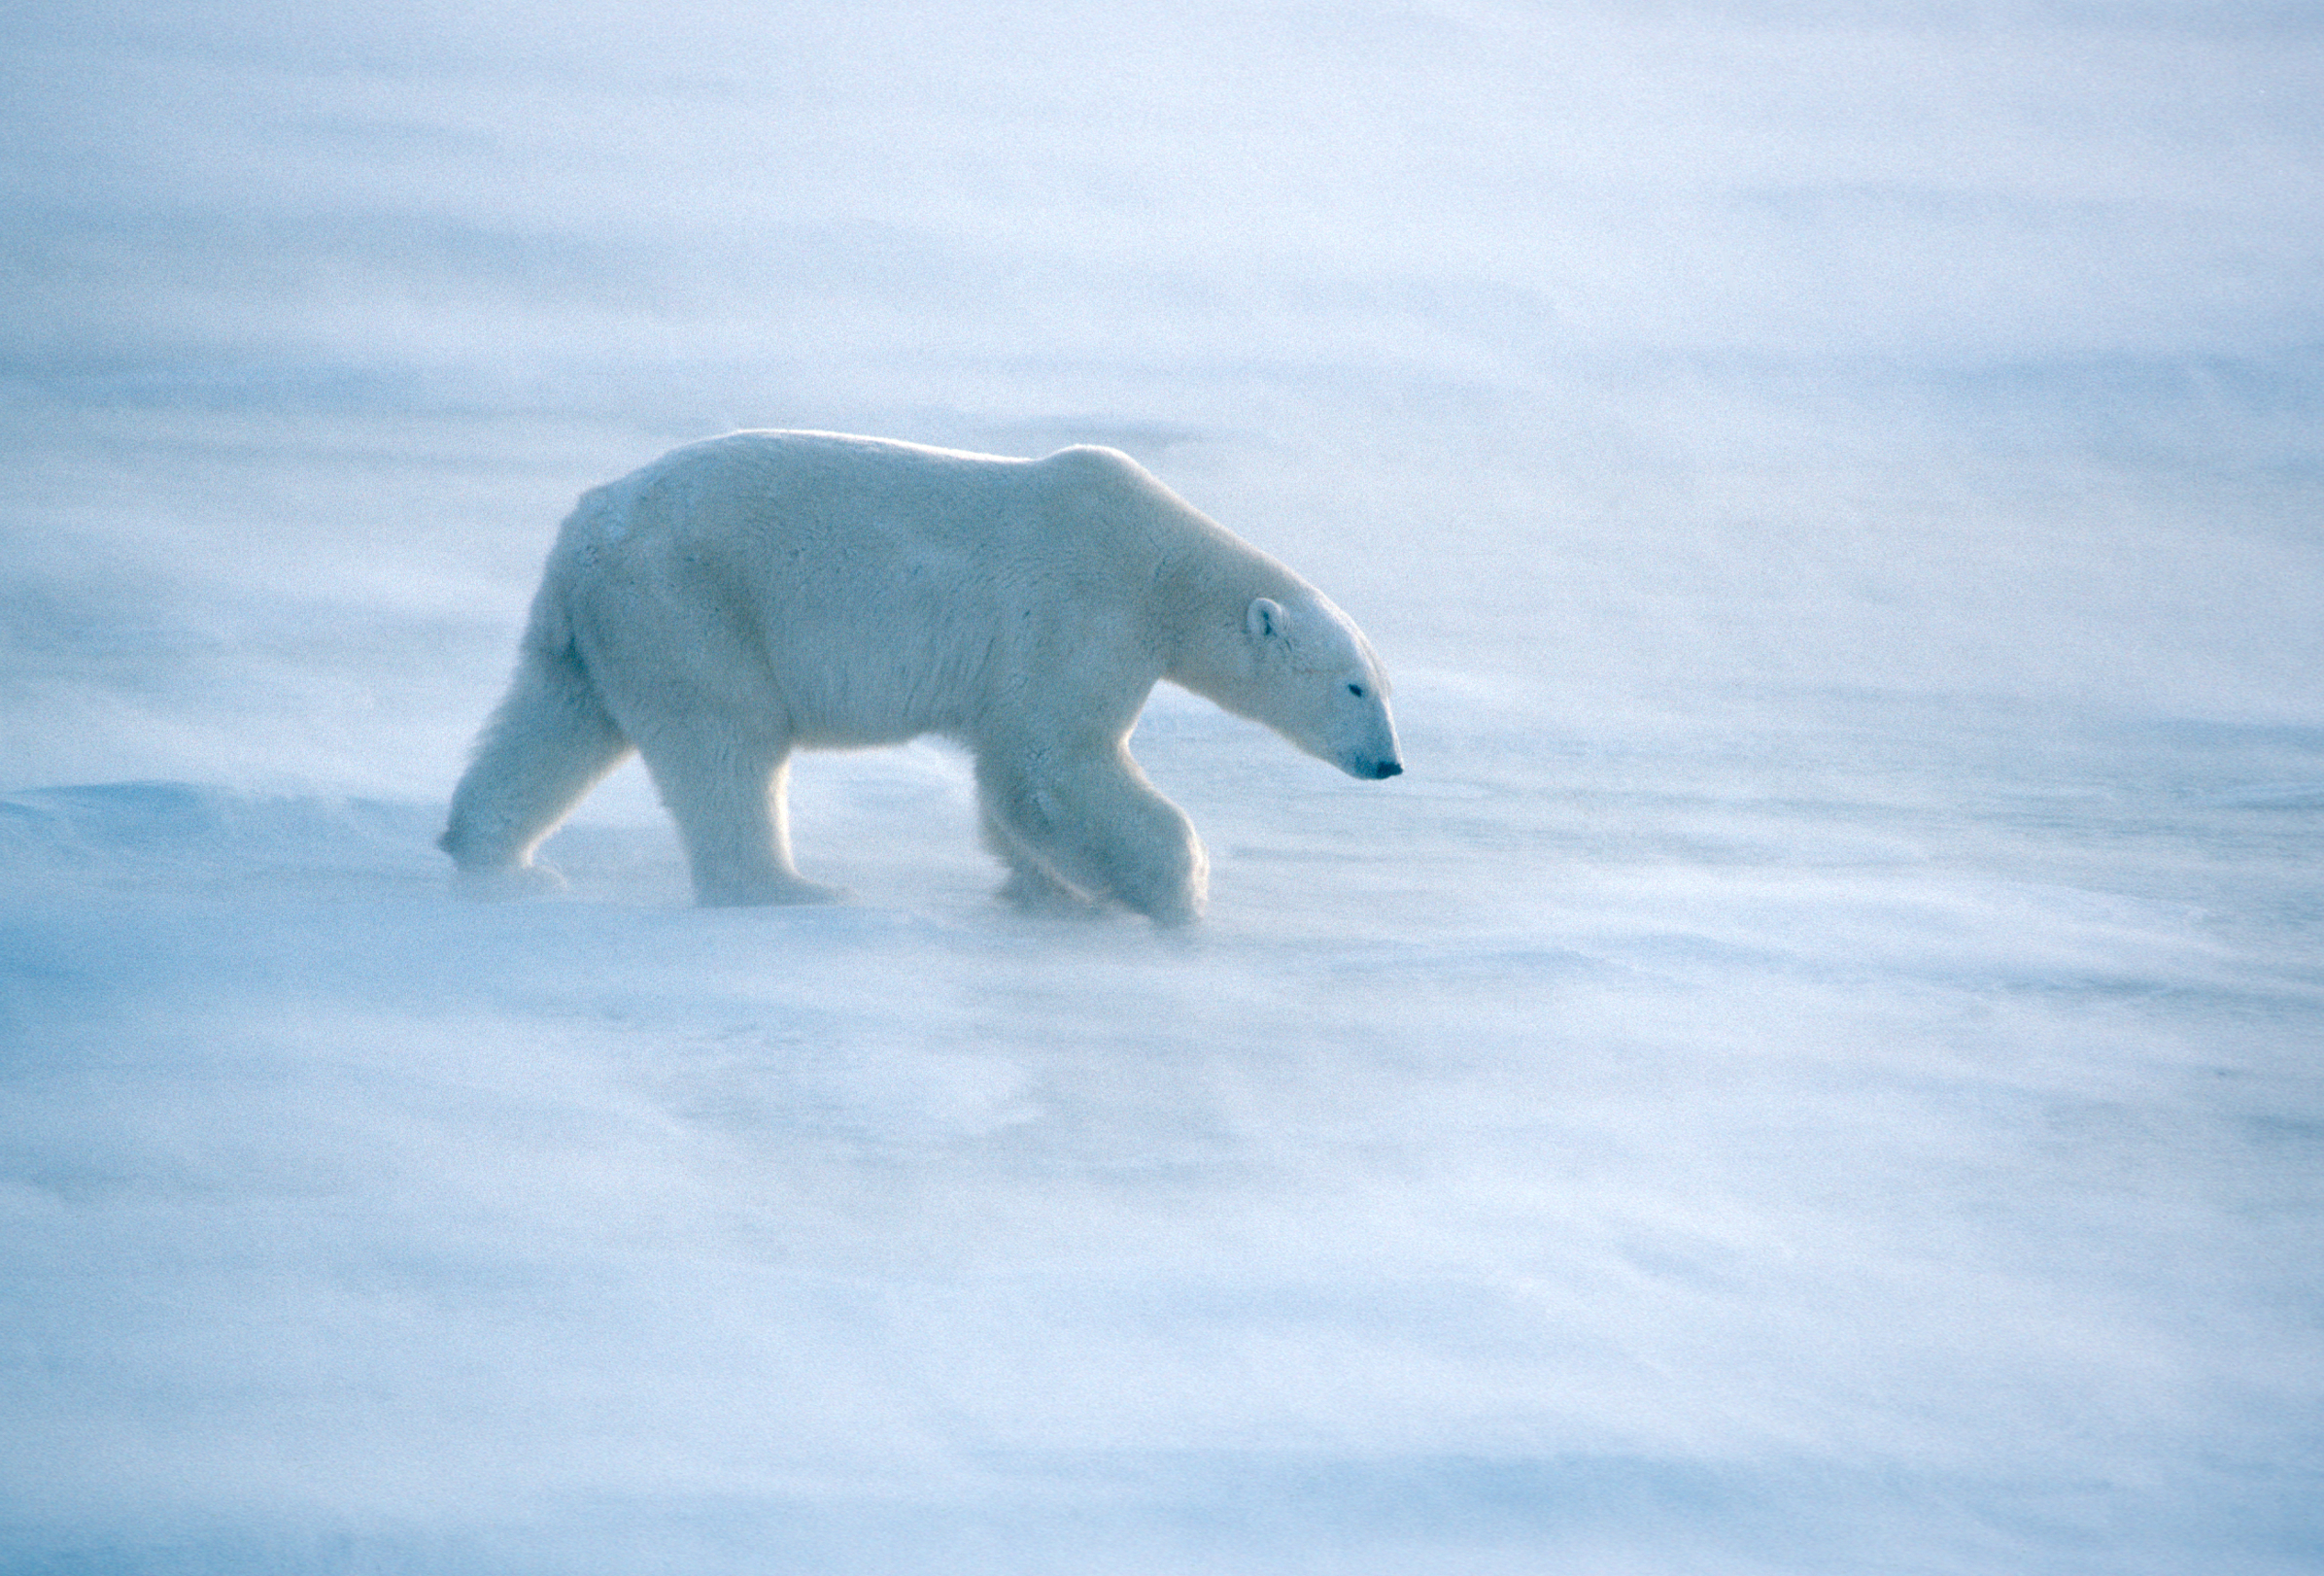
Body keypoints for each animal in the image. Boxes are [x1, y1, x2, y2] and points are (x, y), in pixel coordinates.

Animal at [439, 431, 1401, 923]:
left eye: (1385, 689)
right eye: (1353, 686)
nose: (1389, 764)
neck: (1163, 565)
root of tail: (583, 532)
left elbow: (1015, 780)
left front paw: (1047, 889)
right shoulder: (1079, 609)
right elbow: (1054, 763)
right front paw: (1173, 892)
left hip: (610, 623)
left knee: (555, 722)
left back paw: (495, 857)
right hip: (695, 605)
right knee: (726, 747)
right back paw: (791, 889)